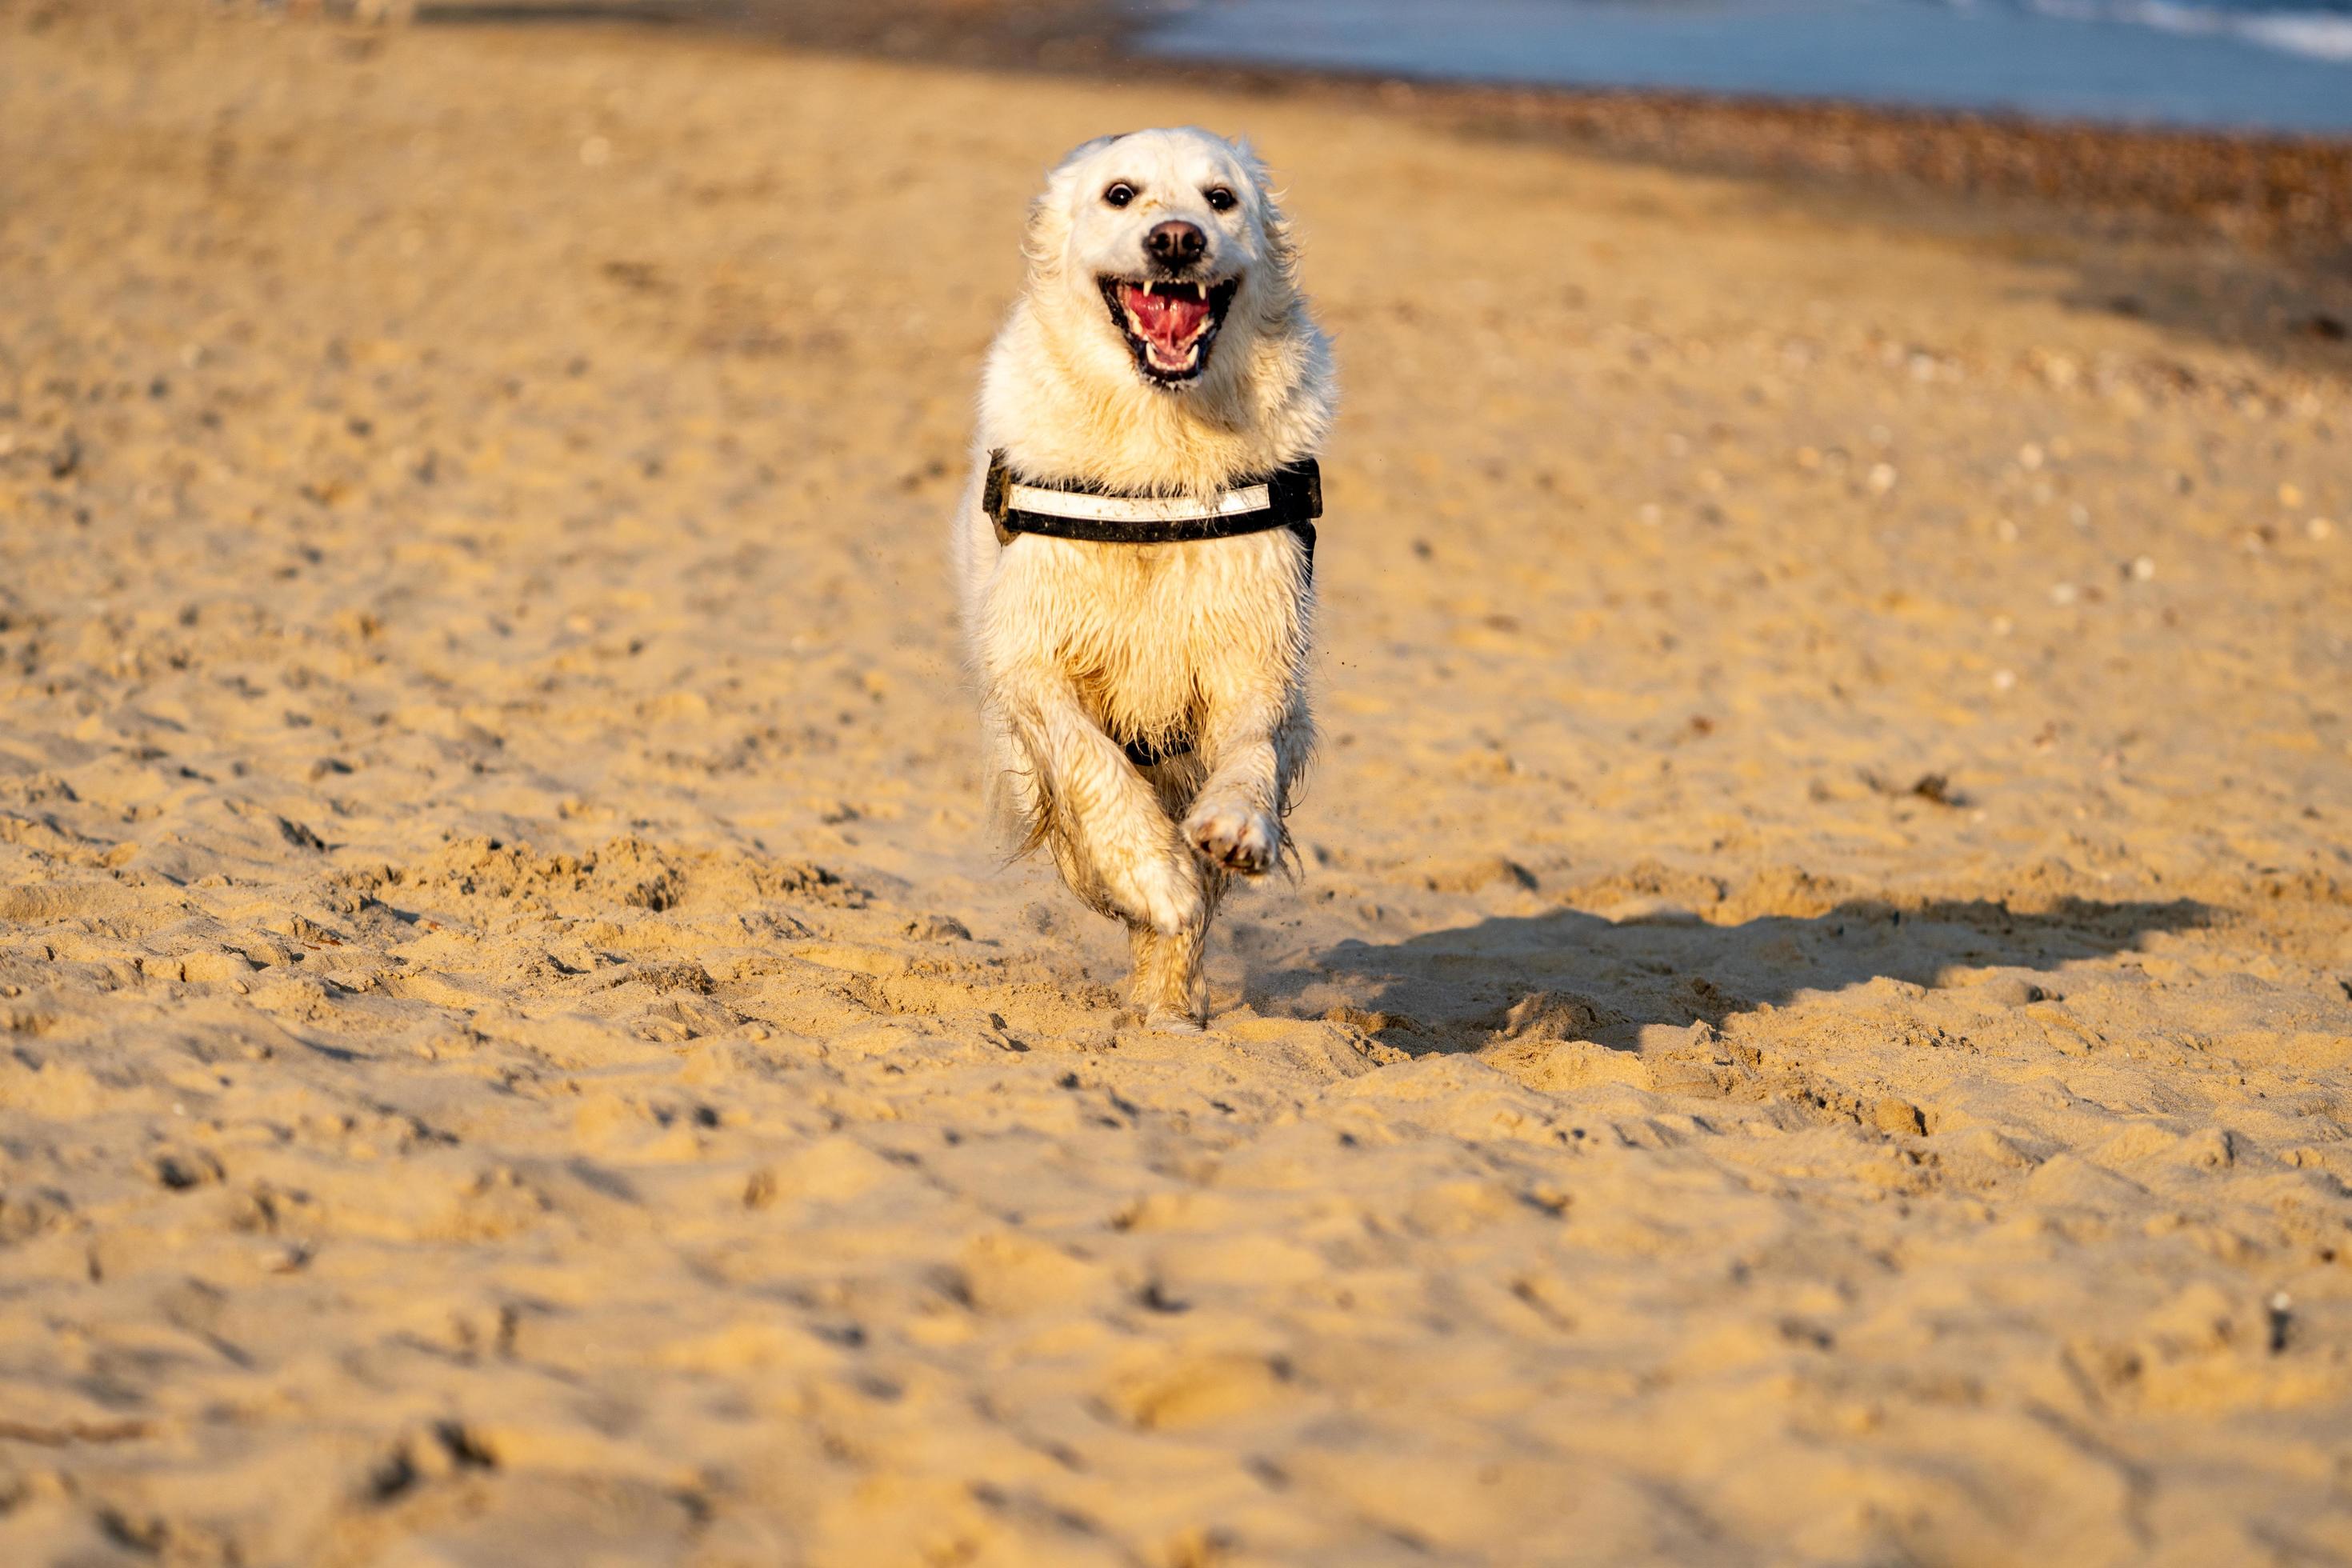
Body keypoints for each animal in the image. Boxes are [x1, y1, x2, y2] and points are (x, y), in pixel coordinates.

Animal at [945, 131, 1335, 1030]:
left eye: (1221, 199)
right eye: (1120, 194)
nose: (1178, 240)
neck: (1159, 445)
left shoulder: (1256, 647)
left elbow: (1250, 750)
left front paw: (1233, 829)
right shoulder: (1031, 655)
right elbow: (1088, 760)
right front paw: (1150, 875)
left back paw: (1167, 1007)